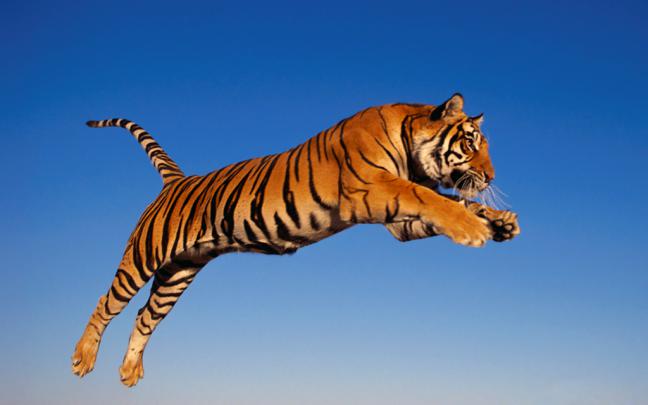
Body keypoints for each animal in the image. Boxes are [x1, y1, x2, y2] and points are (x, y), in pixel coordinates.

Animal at [71, 93, 520, 387]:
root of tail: (176, 180)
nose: (492, 177)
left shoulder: (398, 223)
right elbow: (433, 198)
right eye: (469, 143)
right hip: (143, 256)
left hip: (179, 273)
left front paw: (501, 222)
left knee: (144, 316)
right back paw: (82, 358)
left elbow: (453, 201)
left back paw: (129, 372)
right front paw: (473, 229)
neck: (410, 148)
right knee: (107, 302)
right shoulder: (375, 189)